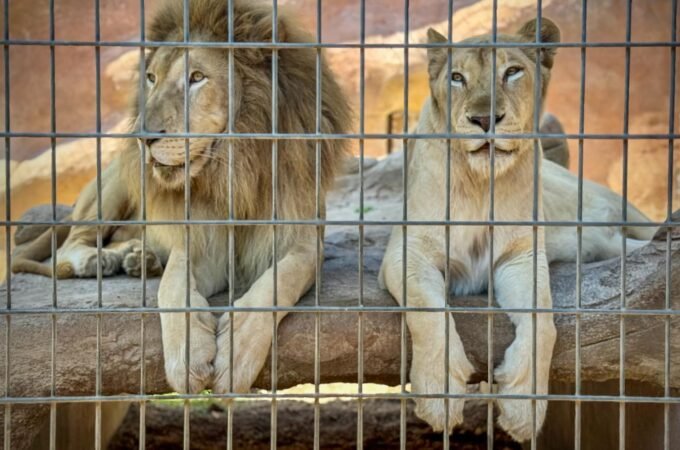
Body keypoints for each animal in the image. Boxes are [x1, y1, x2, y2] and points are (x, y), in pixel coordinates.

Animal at [12, 0, 351, 395]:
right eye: (151, 78)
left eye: (197, 77)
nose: (142, 137)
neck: (234, 171)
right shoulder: (200, 242)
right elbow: (172, 287)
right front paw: (189, 354)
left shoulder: (304, 242)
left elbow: (279, 281)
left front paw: (236, 352)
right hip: (115, 183)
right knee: (70, 244)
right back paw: (100, 260)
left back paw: (138, 258)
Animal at [378, 18, 654, 441]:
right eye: (457, 77)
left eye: (512, 72)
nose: (483, 120)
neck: (480, 185)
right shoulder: (408, 251)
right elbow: (429, 310)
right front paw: (440, 394)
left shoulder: (520, 257)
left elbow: (543, 322)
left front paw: (523, 407)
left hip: (620, 209)